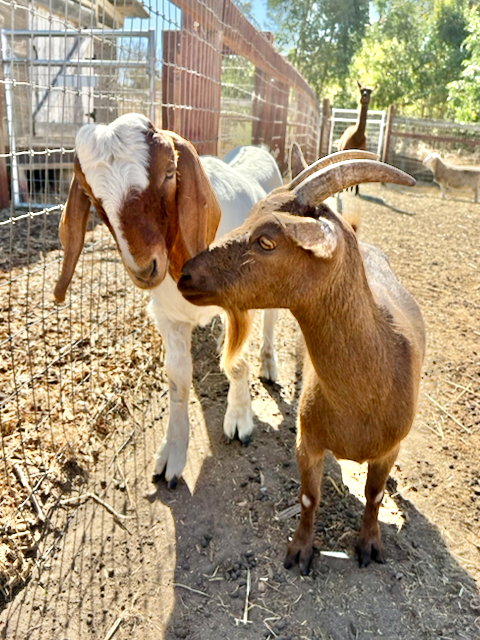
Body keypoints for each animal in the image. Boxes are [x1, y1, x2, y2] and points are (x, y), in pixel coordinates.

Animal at [53, 112, 283, 488]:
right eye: (89, 193)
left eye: (170, 172)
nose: (145, 269)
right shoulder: (167, 317)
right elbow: (177, 378)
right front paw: (172, 452)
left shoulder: (240, 304)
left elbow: (237, 363)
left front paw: (239, 420)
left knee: (271, 320)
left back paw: (268, 364)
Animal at [178, 156, 425, 574]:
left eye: (266, 241)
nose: (185, 273)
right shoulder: (308, 441)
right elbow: (309, 498)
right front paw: (300, 550)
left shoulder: (387, 450)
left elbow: (374, 494)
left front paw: (369, 545)